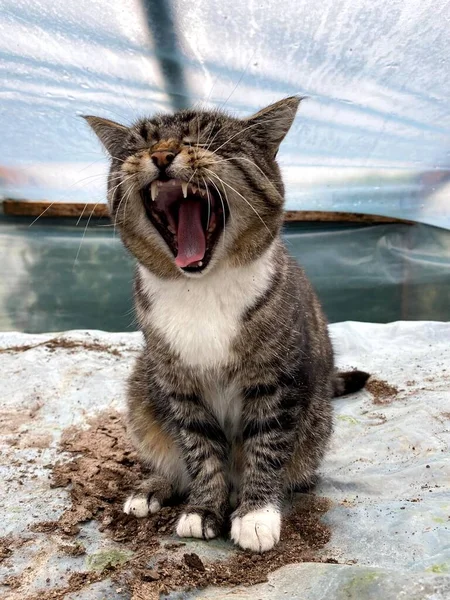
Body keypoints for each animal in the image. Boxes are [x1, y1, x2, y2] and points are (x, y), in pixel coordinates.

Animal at [84, 96, 369, 552]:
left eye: (203, 139)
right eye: (140, 145)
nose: (161, 155)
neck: (201, 286)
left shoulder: (276, 381)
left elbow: (266, 443)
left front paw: (255, 514)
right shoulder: (178, 385)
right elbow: (198, 448)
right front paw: (203, 509)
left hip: (316, 424)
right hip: (142, 388)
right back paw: (151, 489)